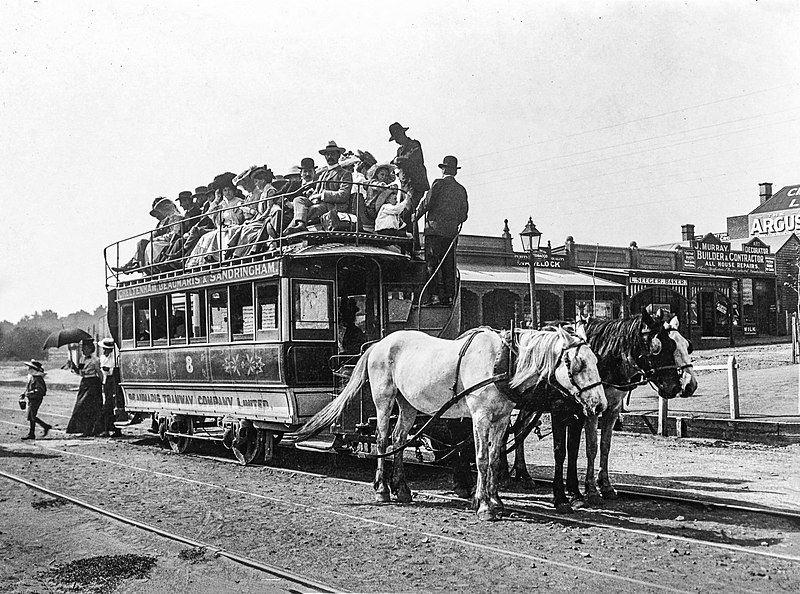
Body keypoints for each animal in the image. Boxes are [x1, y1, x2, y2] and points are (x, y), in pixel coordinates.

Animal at [294, 324, 608, 520]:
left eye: (596, 361)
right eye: (578, 364)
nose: (600, 405)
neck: (502, 361)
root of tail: (378, 344)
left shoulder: (501, 418)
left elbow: (495, 457)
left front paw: (495, 499)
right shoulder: (480, 416)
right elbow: (481, 458)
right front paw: (484, 506)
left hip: (408, 404)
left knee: (398, 439)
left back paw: (402, 488)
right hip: (384, 399)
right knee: (383, 440)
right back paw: (382, 489)